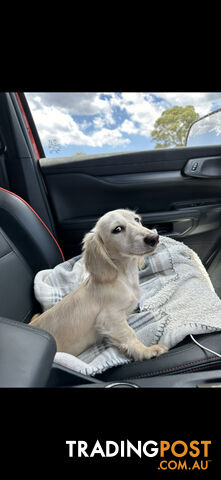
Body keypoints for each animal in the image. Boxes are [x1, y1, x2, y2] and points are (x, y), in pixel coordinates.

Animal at [30, 209, 167, 360]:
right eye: (117, 229)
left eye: (137, 219)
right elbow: (129, 334)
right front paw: (146, 351)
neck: (124, 278)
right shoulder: (109, 317)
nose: (154, 238)